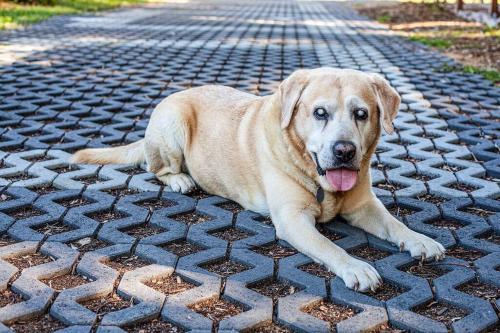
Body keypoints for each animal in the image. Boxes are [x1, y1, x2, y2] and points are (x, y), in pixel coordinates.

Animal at [72, 67, 444, 290]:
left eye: (361, 114)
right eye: (319, 113)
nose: (344, 151)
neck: (320, 183)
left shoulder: (365, 205)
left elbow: (395, 223)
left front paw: (419, 240)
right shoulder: (292, 219)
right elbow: (330, 246)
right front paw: (355, 266)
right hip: (173, 123)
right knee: (156, 169)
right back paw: (180, 179)